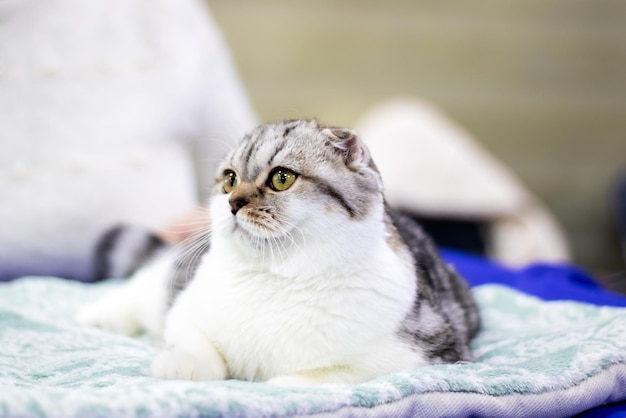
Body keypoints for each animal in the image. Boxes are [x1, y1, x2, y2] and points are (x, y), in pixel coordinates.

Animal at [78, 119, 478, 386]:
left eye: (281, 178)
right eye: (230, 179)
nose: (233, 203)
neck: (273, 276)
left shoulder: (428, 353)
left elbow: (326, 375)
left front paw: (283, 383)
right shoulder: (185, 312)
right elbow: (195, 343)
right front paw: (182, 363)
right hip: (167, 279)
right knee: (139, 290)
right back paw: (96, 316)